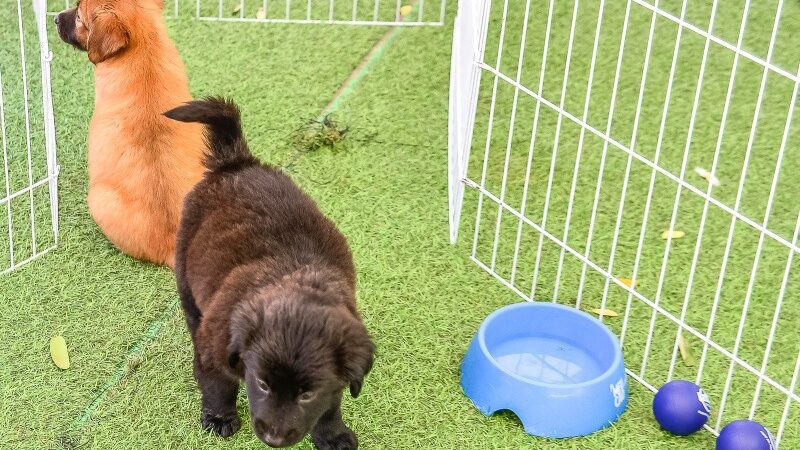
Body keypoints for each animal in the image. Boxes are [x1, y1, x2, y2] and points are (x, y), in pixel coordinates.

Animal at [165, 96, 376, 448]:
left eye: (307, 394)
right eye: (262, 384)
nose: (274, 439)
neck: (294, 279)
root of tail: (238, 162)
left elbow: (330, 404)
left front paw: (332, 435)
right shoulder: (215, 346)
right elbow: (218, 383)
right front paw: (220, 418)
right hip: (186, 275)